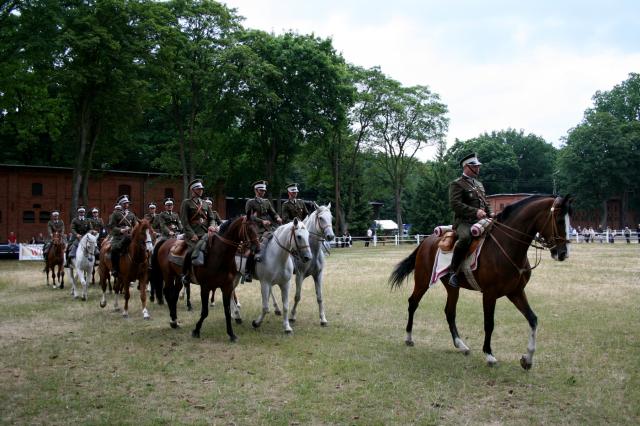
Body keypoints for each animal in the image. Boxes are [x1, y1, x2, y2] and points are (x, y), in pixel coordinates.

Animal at [390, 195, 576, 368]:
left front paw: (527, 359)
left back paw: (461, 346)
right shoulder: (489, 294)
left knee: (449, 312)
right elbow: (489, 323)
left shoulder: (515, 292)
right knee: (413, 303)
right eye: (560, 220)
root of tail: (426, 241)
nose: (563, 253)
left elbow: (532, 319)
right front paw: (489, 355)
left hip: (452, 287)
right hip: (422, 281)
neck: (507, 246)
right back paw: (409, 338)